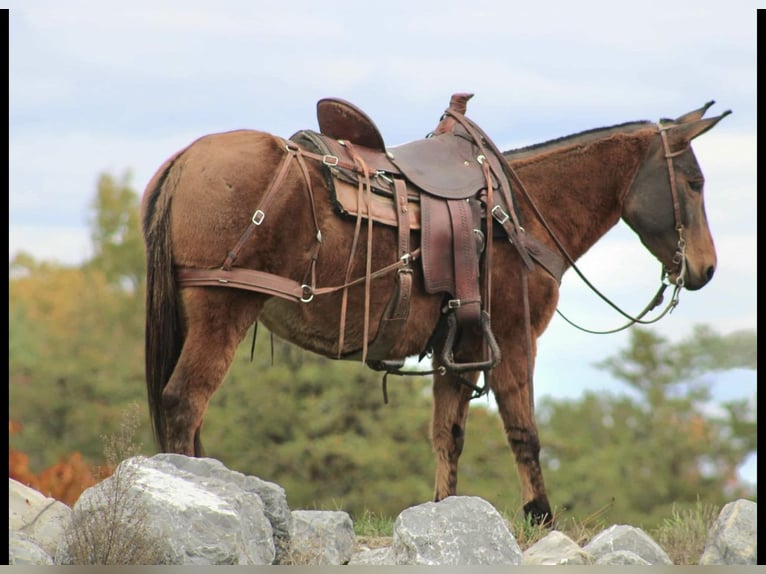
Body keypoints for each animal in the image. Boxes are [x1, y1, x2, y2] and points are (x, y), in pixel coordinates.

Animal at [141, 95, 729, 526]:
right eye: (694, 183)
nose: (706, 269)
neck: (520, 211)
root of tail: (187, 159)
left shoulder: (460, 348)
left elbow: (448, 436)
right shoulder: (514, 339)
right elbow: (525, 435)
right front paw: (540, 520)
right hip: (222, 310)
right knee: (183, 403)